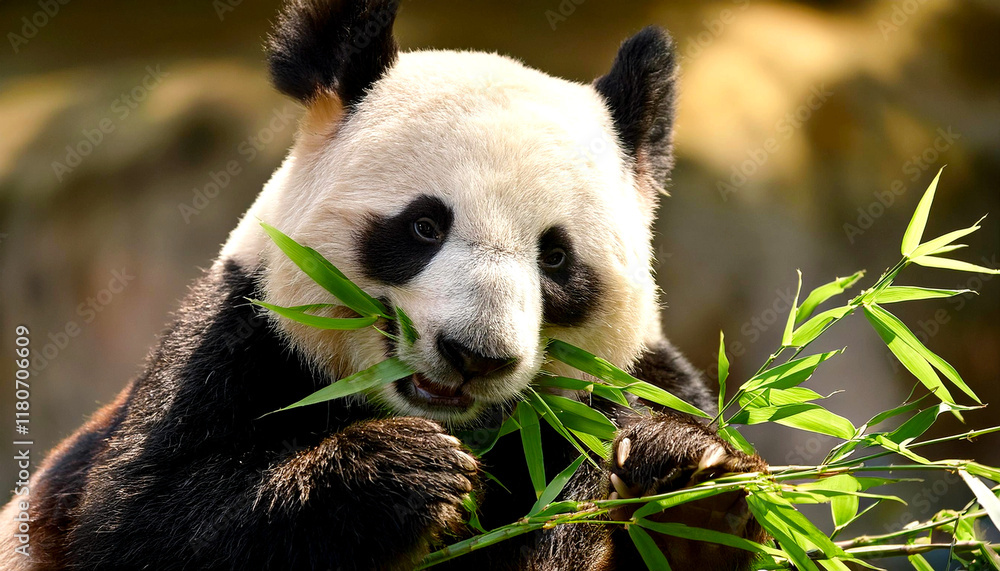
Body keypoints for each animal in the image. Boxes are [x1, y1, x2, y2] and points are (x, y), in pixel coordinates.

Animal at [2, 0, 768, 569]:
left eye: (555, 257)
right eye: (424, 226)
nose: (474, 355)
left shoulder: (626, 386)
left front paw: (688, 493)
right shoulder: (236, 346)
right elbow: (139, 521)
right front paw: (399, 472)